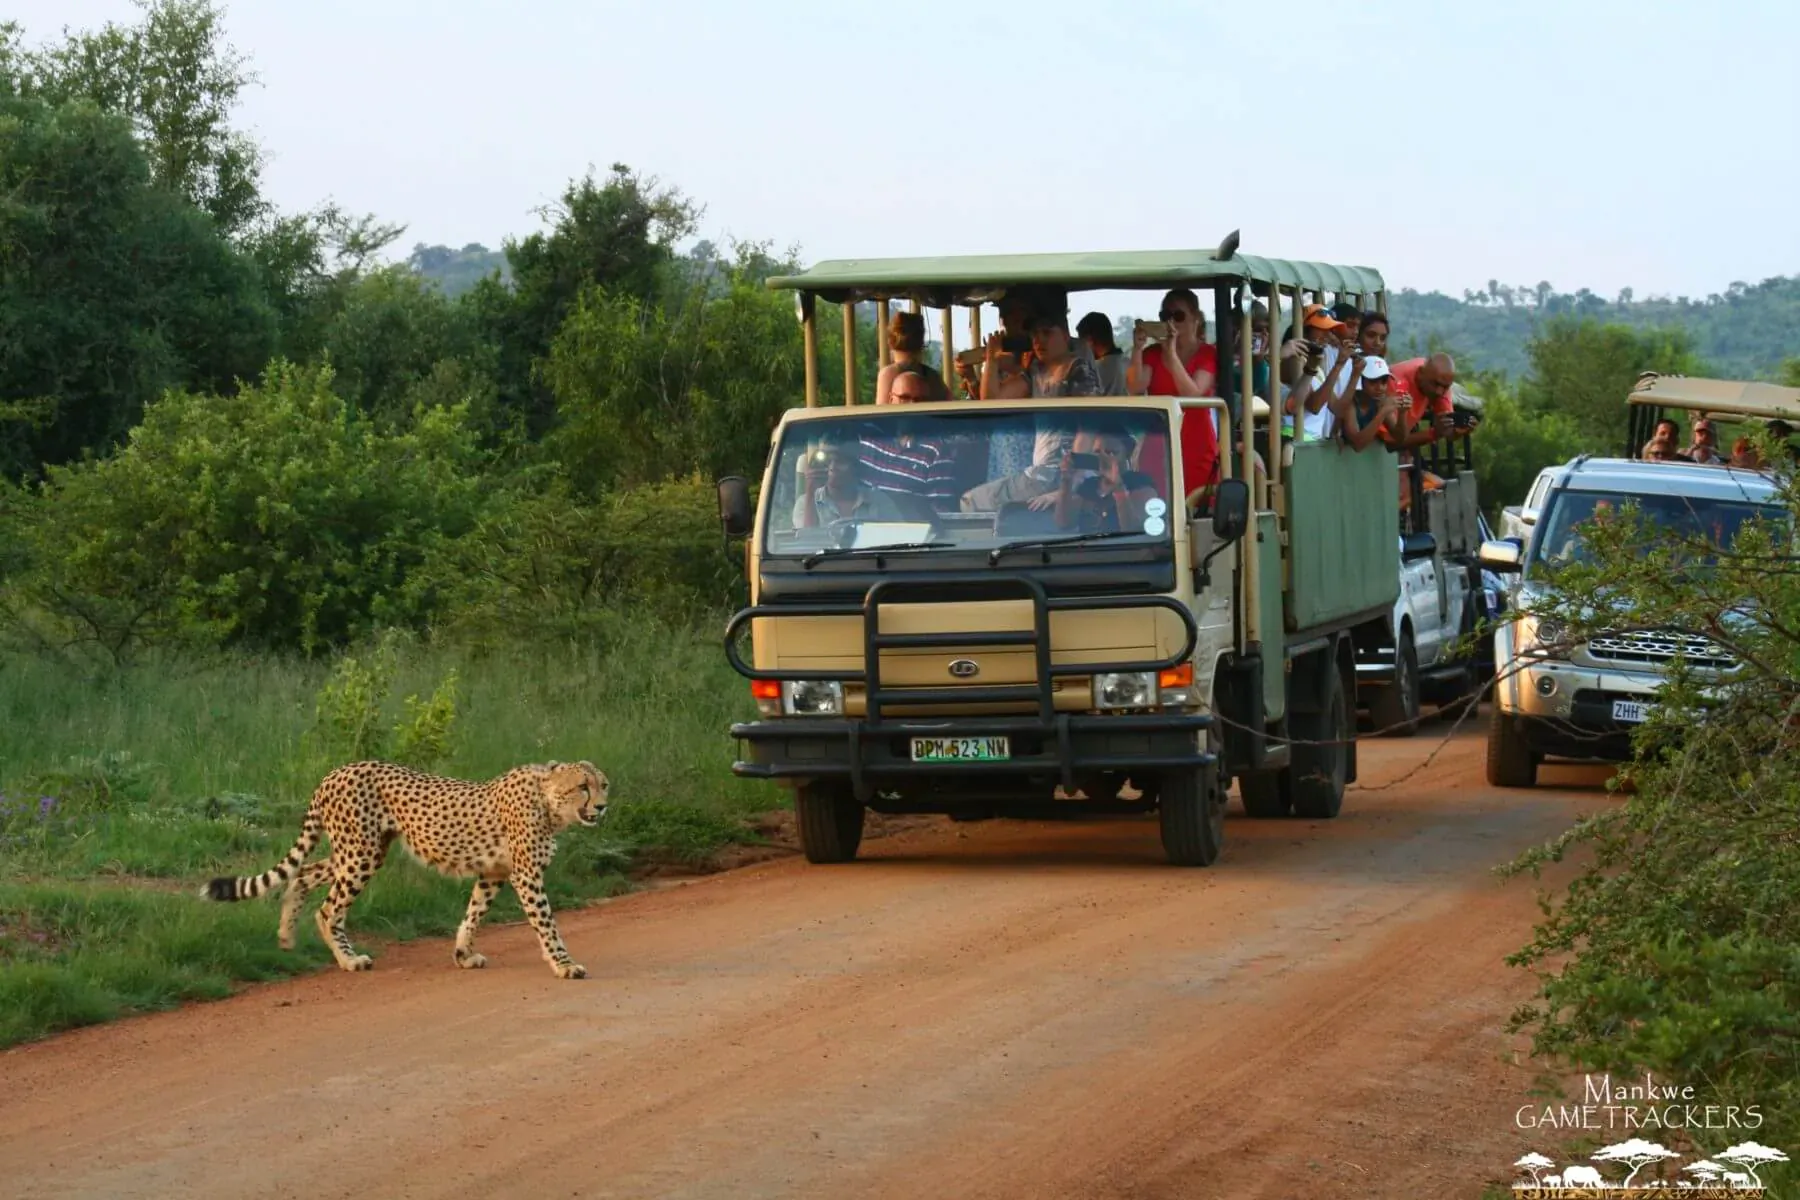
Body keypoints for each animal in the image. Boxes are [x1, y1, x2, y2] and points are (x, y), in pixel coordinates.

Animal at [202, 759, 608, 978]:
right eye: (582, 786)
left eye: (603, 785)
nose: (603, 807)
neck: (549, 803)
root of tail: (336, 771)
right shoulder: (526, 875)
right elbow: (547, 925)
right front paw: (565, 965)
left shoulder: (494, 873)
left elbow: (473, 913)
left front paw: (463, 954)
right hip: (360, 854)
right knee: (329, 908)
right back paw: (349, 959)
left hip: (357, 851)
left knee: (303, 874)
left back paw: (286, 936)